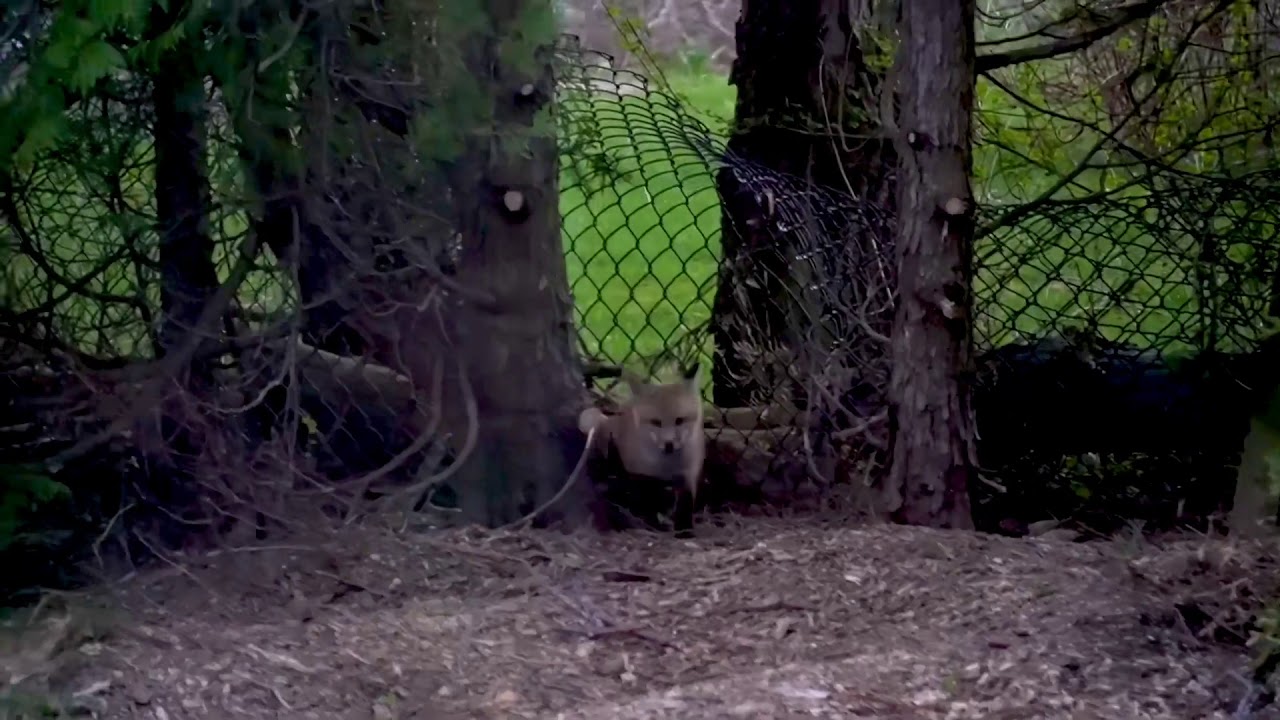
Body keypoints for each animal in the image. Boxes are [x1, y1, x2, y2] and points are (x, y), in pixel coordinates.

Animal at [578, 364, 706, 536]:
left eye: (679, 420)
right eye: (655, 422)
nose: (669, 444)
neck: (667, 467)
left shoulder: (687, 475)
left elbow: (684, 507)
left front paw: (684, 531)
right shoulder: (640, 474)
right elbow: (646, 503)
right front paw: (654, 525)